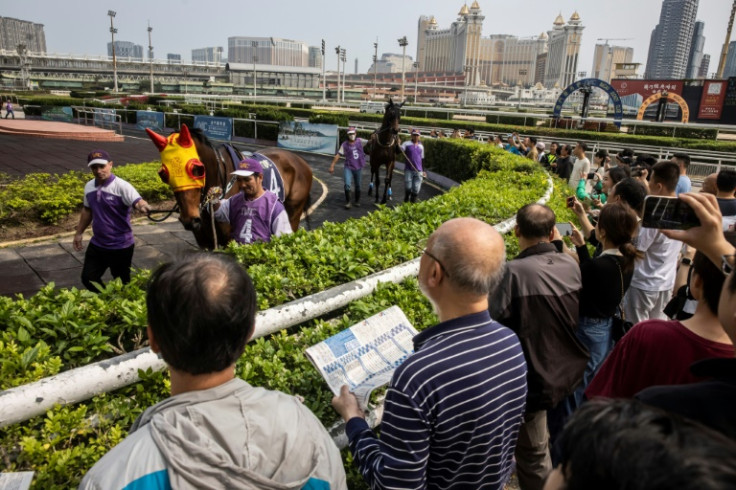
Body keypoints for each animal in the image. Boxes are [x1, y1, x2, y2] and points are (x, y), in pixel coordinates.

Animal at [147, 124, 314, 251]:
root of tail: (300, 160)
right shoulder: (204, 242)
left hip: (294, 211)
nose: (189, 220)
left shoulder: (230, 240)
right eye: (163, 174)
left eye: (197, 169)